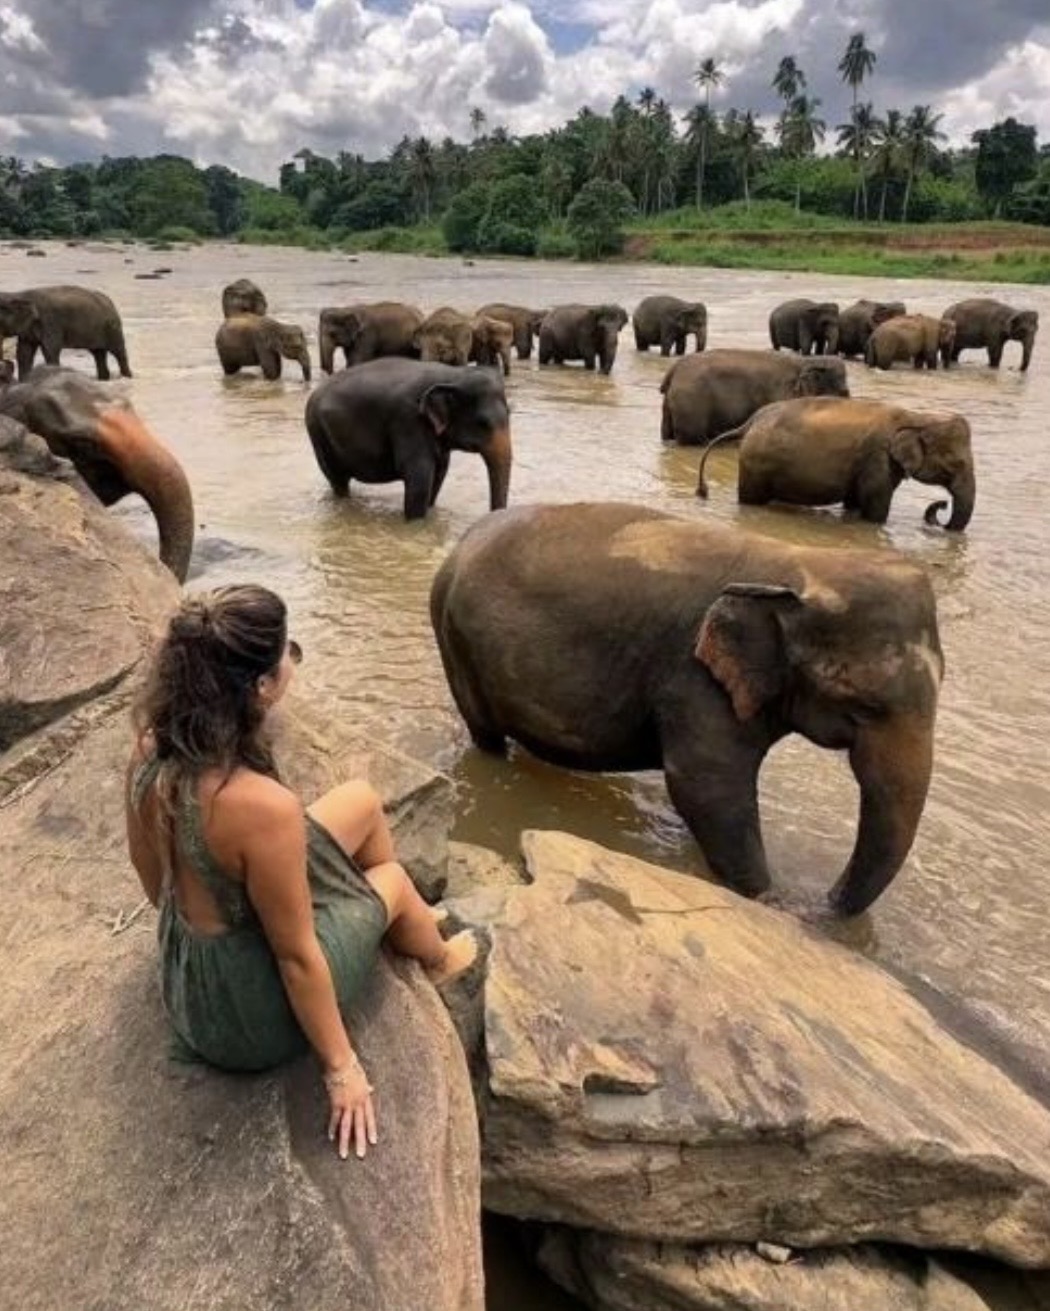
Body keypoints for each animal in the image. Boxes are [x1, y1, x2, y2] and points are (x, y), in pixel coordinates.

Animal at [0, 286, 131, 381]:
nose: (6, 363)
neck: (19, 294)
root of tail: (110, 302)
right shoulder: (28, 330)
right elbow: (24, 353)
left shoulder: (51, 323)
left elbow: (50, 351)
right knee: (98, 353)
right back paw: (104, 379)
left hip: (113, 328)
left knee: (118, 352)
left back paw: (127, 377)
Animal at [305, 358, 512, 521]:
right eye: (483, 423)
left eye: (509, 413)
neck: (452, 374)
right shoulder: (409, 421)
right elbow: (420, 482)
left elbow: (439, 475)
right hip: (318, 434)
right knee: (338, 480)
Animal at [430, 501, 943, 916]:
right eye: (864, 704)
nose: (821, 903)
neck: (798, 563)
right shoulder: (693, 678)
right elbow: (705, 784)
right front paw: (767, 899)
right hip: (456, 645)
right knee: (485, 735)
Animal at [695, 397, 975, 531]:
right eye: (956, 463)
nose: (941, 506)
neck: (917, 417)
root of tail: (751, 421)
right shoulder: (876, 459)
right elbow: (876, 510)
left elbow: (855, 502)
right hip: (755, 465)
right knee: (751, 500)